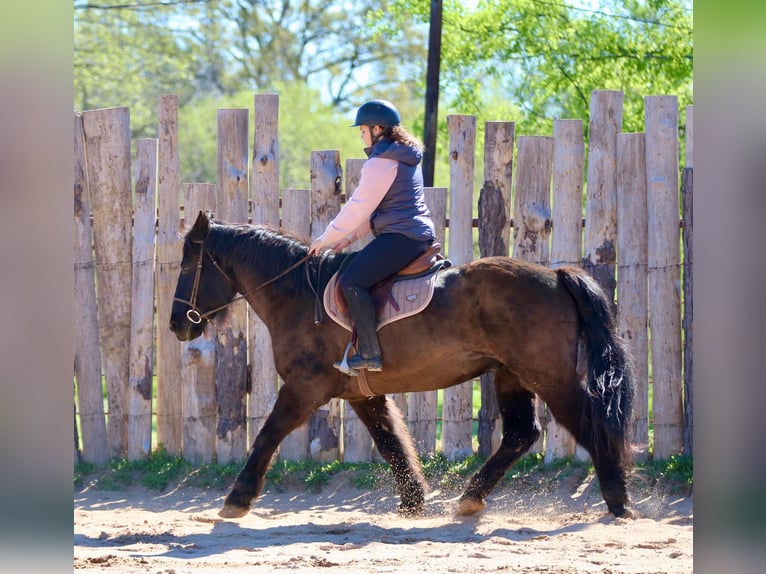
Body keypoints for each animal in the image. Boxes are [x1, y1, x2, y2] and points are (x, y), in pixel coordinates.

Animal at [170, 210, 636, 519]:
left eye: (189, 264)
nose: (177, 324)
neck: (300, 294)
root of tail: (556, 276)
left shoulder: (303, 388)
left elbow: (267, 435)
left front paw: (238, 498)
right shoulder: (362, 395)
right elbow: (392, 443)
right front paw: (413, 501)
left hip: (550, 378)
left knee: (590, 422)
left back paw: (619, 501)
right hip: (511, 375)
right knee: (522, 433)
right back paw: (471, 497)